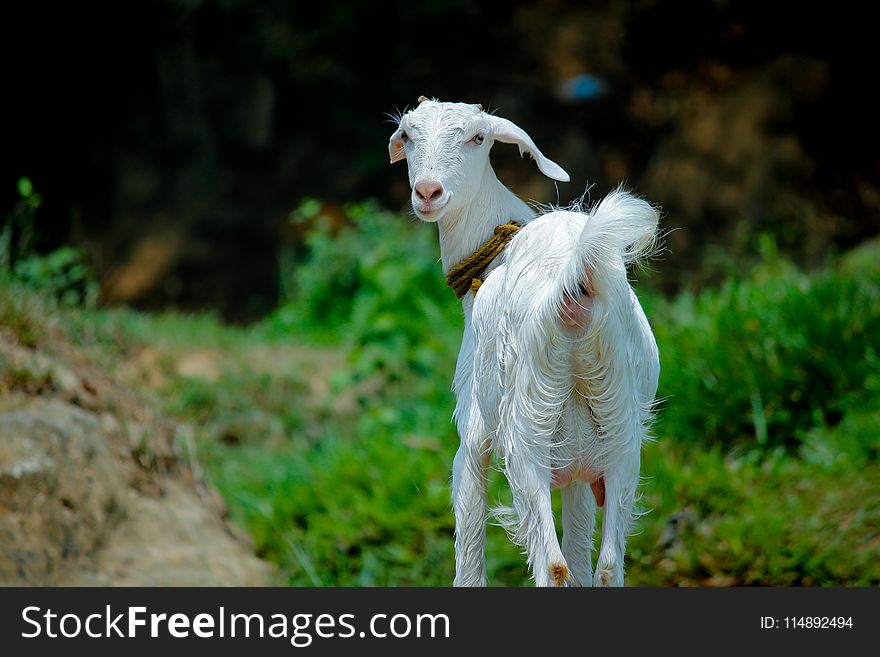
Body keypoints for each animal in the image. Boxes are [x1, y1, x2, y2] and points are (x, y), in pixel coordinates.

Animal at [388, 97, 656, 584]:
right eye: (408, 135)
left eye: (478, 137)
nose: (429, 192)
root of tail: (575, 282)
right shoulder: (578, 472)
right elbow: (582, 552)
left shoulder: (472, 433)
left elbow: (469, 553)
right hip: (620, 435)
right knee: (607, 564)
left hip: (525, 429)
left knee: (551, 564)